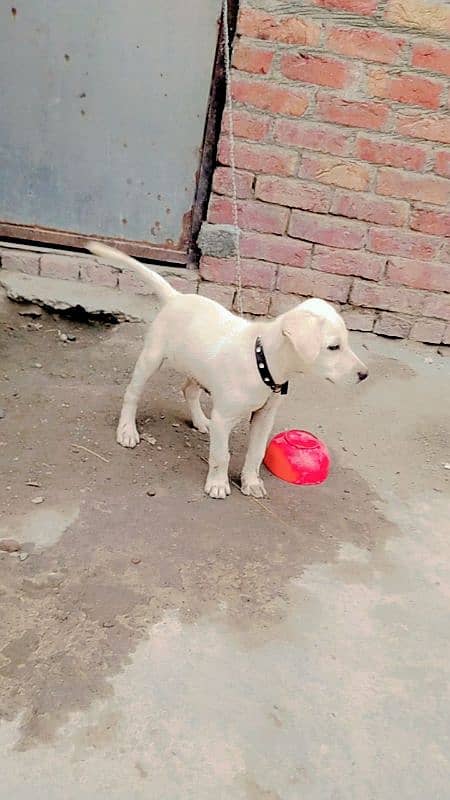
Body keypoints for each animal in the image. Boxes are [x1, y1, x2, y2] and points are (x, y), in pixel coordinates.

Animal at [86, 241, 368, 496]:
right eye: (333, 347)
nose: (364, 375)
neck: (262, 363)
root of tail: (177, 298)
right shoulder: (225, 417)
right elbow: (221, 454)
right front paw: (218, 484)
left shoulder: (264, 417)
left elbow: (256, 453)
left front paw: (251, 483)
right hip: (151, 358)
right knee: (132, 394)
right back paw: (127, 431)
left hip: (196, 368)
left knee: (188, 390)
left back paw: (201, 421)